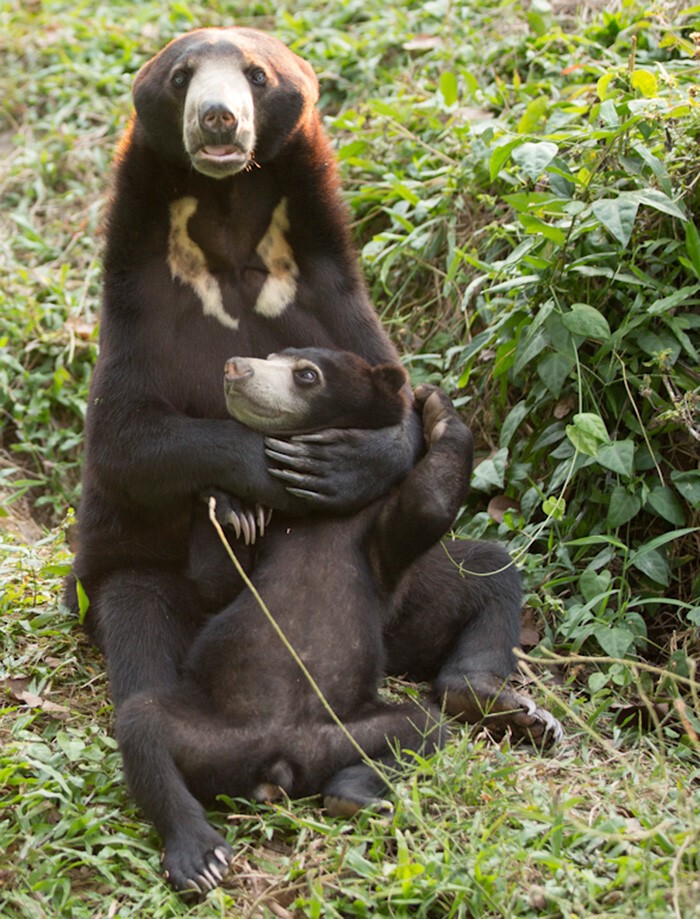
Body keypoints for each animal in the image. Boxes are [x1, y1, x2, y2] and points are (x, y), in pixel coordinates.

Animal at [68, 23, 560, 884]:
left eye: (256, 77)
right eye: (182, 78)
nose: (220, 120)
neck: (226, 221)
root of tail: (281, 765)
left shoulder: (326, 283)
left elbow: (400, 405)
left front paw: (348, 462)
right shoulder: (137, 298)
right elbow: (126, 434)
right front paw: (245, 487)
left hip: (405, 611)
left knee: (486, 575)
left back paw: (497, 705)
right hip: (136, 582)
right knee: (141, 654)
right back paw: (197, 836)